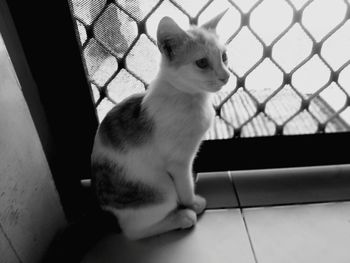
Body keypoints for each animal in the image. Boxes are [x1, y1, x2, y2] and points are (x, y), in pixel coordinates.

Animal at [91, 10, 230, 241]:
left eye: (224, 56)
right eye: (202, 63)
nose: (226, 76)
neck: (189, 97)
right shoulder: (179, 162)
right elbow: (185, 185)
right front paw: (192, 203)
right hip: (161, 189)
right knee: (134, 231)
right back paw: (183, 217)